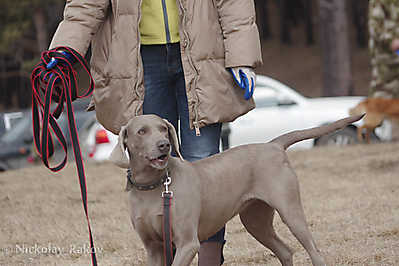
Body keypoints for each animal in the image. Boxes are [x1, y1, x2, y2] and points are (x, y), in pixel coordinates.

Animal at [111, 114, 364, 266]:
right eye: (141, 132)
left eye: (163, 128)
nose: (164, 144)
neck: (153, 186)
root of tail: (273, 145)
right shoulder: (153, 247)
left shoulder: (187, 243)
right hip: (255, 220)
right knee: (285, 250)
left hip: (290, 211)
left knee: (313, 250)